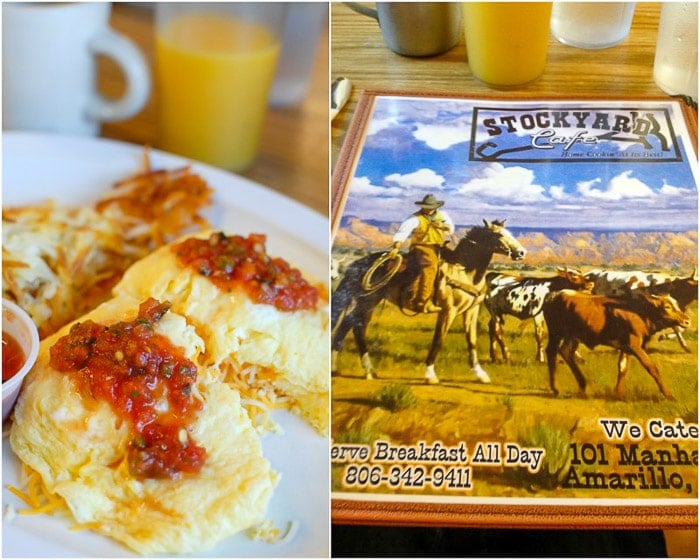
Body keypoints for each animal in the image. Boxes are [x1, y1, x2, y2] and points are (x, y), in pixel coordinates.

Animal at [540, 288, 688, 398]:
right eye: (667, 306)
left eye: (677, 304)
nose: (686, 321)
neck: (639, 312)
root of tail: (554, 294)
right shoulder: (635, 346)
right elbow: (651, 367)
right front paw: (668, 394)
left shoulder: (626, 347)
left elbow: (622, 368)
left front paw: (619, 393)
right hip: (556, 332)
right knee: (551, 351)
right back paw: (556, 388)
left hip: (572, 336)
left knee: (566, 352)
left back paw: (583, 385)